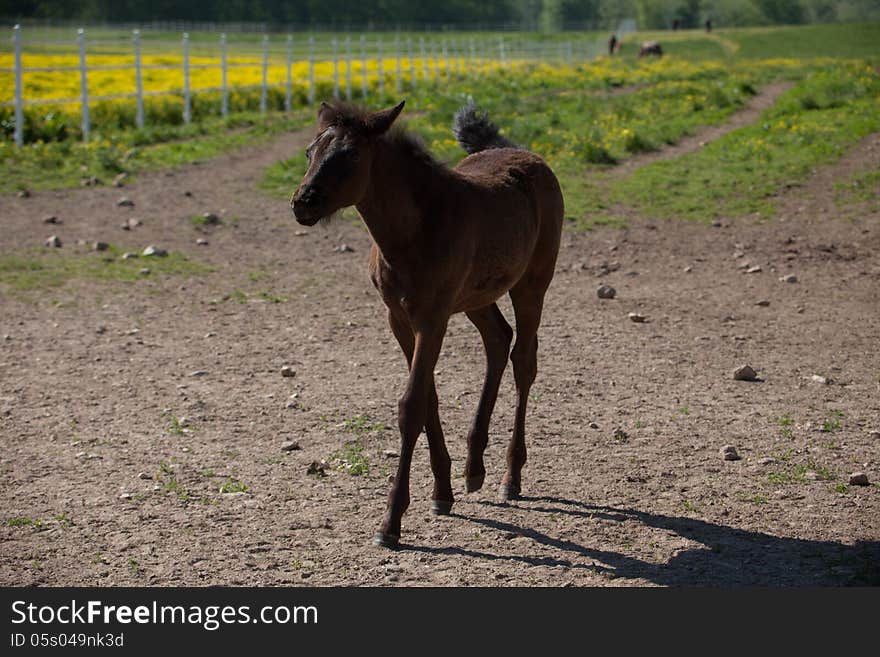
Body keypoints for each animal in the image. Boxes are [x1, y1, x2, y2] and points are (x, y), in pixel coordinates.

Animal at [290, 98, 564, 548]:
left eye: (350, 156)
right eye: (311, 151)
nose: (302, 202)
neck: (412, 233)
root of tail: (527, 155)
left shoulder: (432, 318)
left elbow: (412, 404)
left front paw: (390, 522)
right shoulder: (400, 318)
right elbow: (428, 398)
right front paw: (441, 492)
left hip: (532, 283)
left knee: (524, 360)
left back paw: (510, 476)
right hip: (475, 297)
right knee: (498, 339)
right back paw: (474, 468)